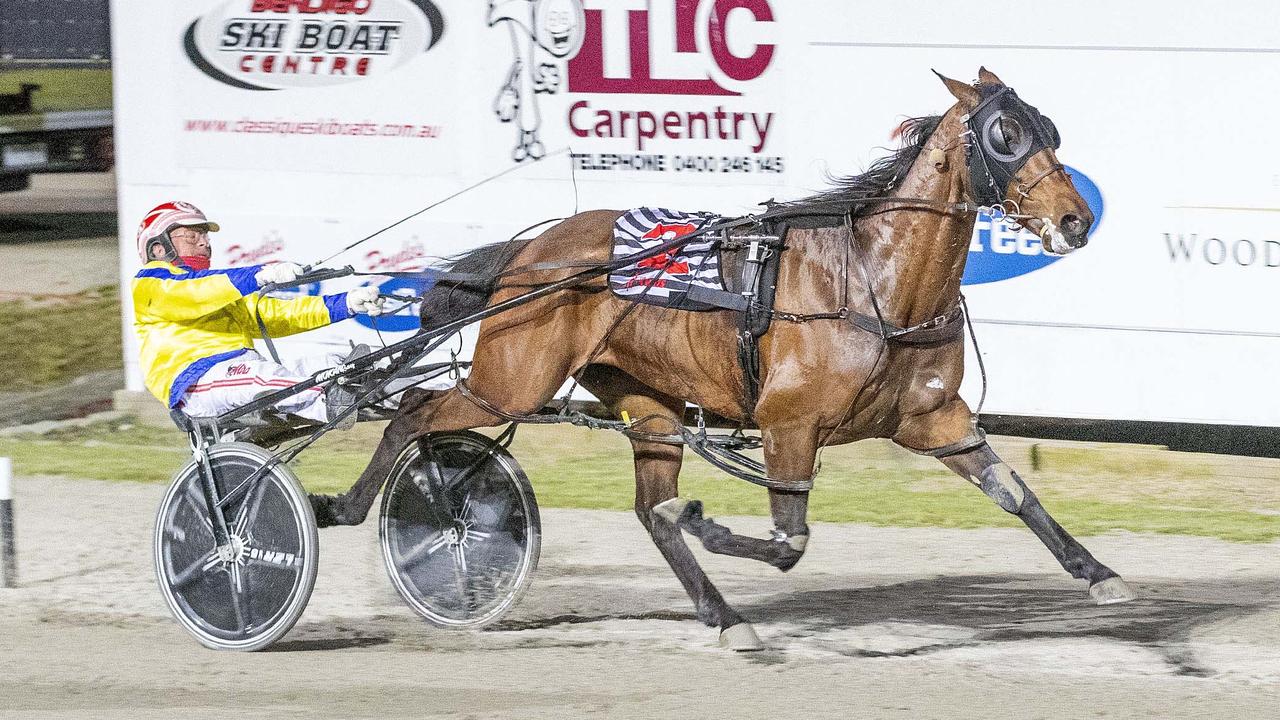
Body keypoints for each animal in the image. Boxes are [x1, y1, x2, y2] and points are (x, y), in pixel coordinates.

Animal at [314, 67, 1136, 648]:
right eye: (1005, 135)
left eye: (1048, 128)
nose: (1076, 219)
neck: (872, 280)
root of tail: (531, 252)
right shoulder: (788, 423)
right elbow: (789, 542)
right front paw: (709, 522)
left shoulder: (935, 417)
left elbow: (1014, 493)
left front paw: (1100, 575)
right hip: (510, 382)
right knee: (415, 412)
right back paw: (344, 503)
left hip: (646, 402)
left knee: (648, 509)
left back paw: (724, 615)